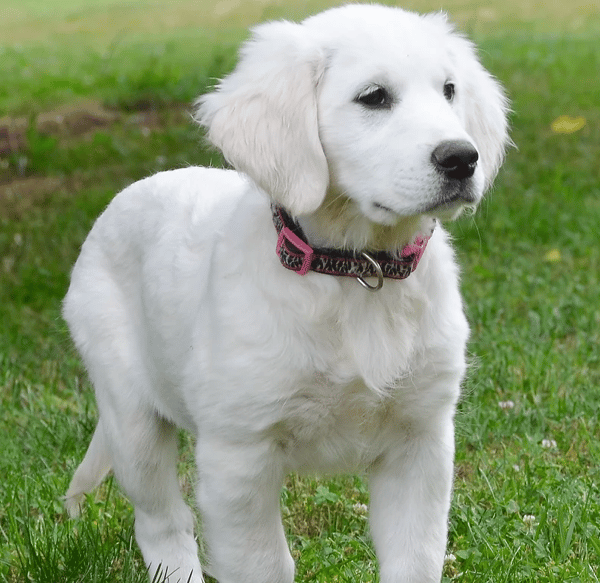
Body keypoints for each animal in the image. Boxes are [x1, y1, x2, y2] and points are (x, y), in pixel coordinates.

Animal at [64, 4, 506, 583]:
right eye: (374, 97)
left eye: (450, 89)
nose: (462, 158)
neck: (356, 272)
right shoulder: (238, 456)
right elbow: (264, 563)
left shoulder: (422, 440)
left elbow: (416, 560)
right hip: (131, 414)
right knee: (162, 523)